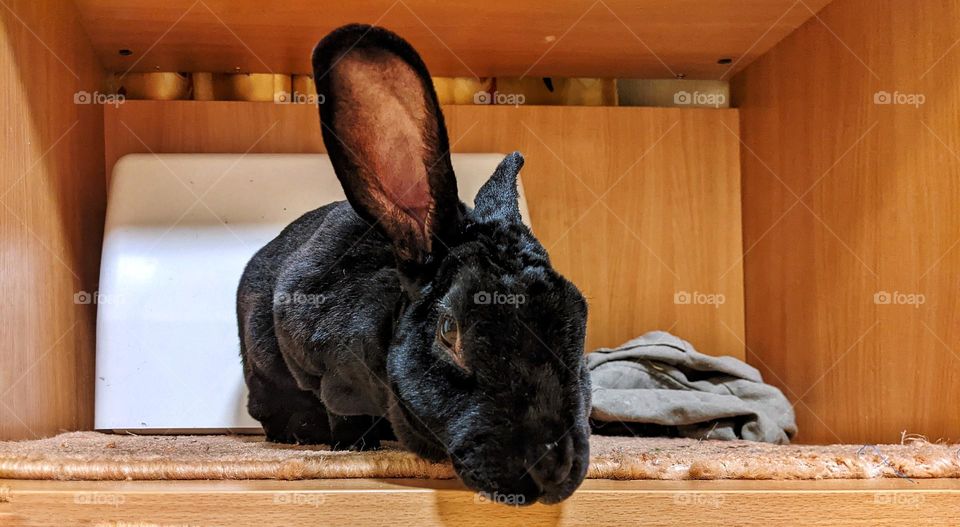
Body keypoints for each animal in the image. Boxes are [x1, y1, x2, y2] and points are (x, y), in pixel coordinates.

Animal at [236, 23, 588, 504]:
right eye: (448, 331)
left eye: (580, 312)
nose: (552, 472)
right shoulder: (324, 370)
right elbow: (342, 410)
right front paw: (352, 444)